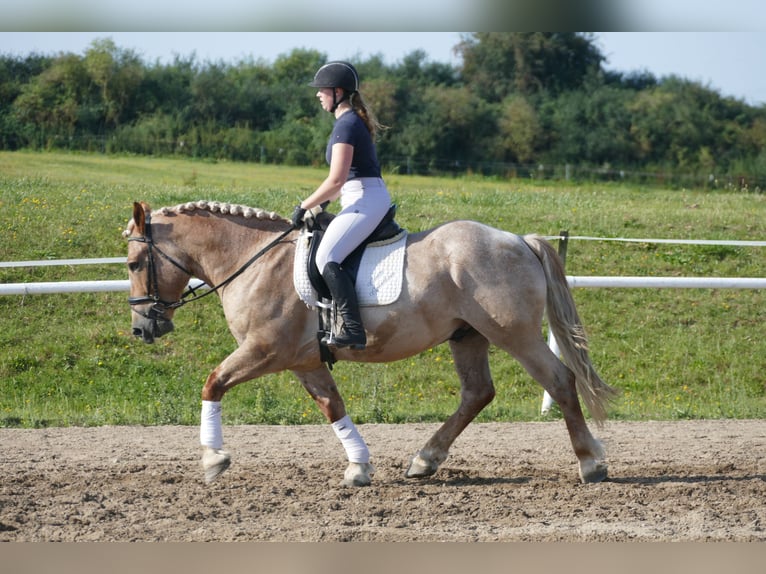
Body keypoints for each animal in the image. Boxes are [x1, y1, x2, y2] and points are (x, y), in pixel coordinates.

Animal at [126, 200, 616, 488]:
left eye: (132, 262)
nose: (142, 328)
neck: (254, 260)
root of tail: (518, 239)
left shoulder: (264, 351)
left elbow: (213, 383)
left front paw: (213, 458)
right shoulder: (305, 362)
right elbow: (333, 407)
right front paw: (359, 466)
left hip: (513, 334)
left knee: (560, 380)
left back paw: (591, 463)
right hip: (468, 336)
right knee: (477, 392)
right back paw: (425, 460)